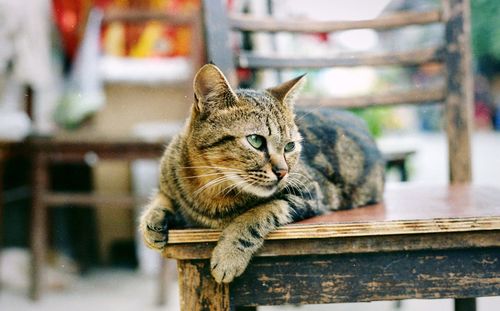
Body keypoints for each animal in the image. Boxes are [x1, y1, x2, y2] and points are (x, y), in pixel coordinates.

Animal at [139, 64, 384, 284]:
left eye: (290, 146)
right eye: (256, 140)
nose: (283, 172)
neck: (212, 189)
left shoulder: (312, 193)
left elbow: (261, 212)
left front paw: (229, 254)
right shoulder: (167, 178)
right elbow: (161, 197)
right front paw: (151, 222)